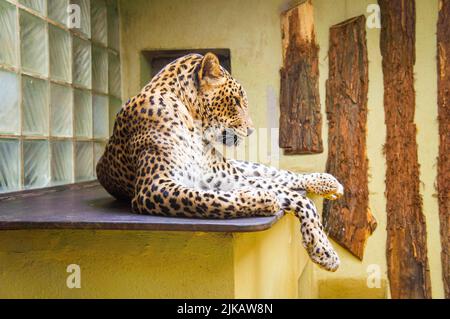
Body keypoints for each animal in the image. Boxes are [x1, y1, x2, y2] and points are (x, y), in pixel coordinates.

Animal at [97, 53, 344, 272]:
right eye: (235, 101)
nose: (251, 130)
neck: (192, 123)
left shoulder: (221, 175)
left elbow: (286, 191)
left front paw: (323, 249)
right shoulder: (154, 187)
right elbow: (210, 199)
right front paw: (264, 200)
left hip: (239, 167)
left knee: (279, 174)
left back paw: (328, 183)